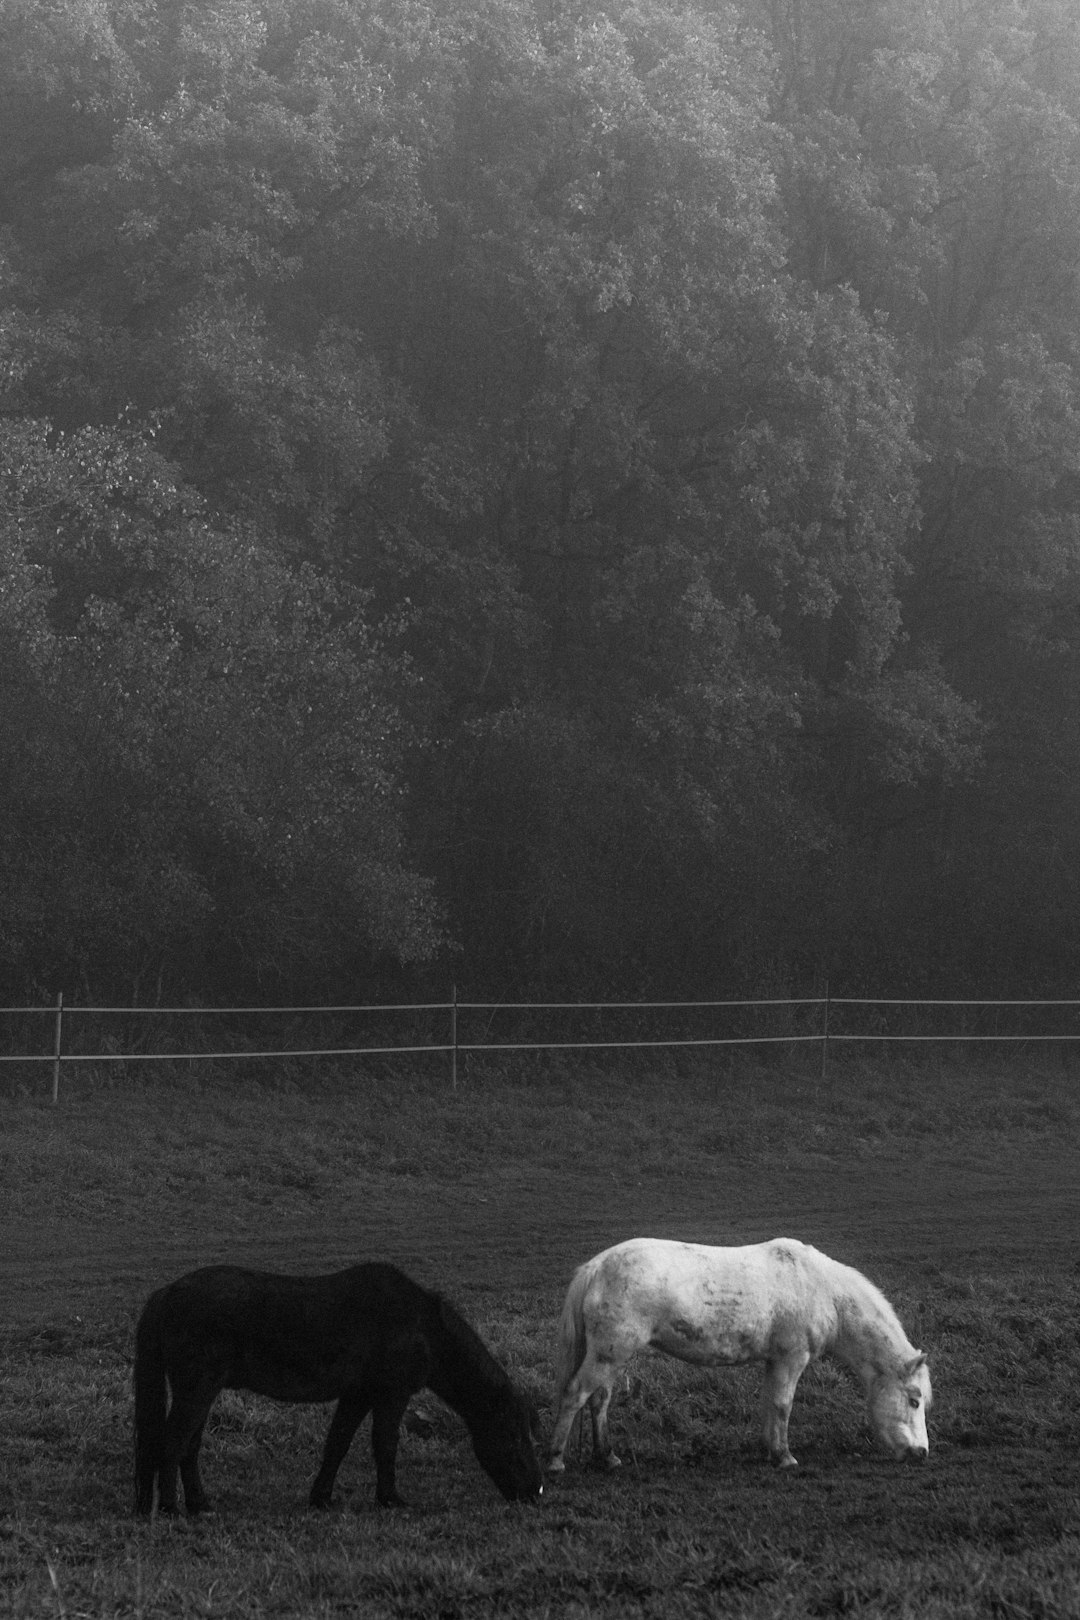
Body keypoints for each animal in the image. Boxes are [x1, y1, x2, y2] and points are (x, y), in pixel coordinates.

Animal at [132, 1257, 540, 1509]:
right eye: (514, 1435)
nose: (534, 1492)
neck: (423, 1327)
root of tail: (167, 1293)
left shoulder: (357, 1395)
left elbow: (337, 1445)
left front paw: (322, 1498)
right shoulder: (391, 1394)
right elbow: (385, 1445)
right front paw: (390, 1499)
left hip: (201, 1390)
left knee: (188, 1446)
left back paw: (199, 1505)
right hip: (196, 1389)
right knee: (173, 1442)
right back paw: (169, 1508)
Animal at [550, 1237, 932, 1470]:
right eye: (913, 1400)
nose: (921, 1452)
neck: (823, 1289)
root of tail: (597, 1268)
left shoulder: (774, 1361)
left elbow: (769, 1404)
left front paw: (769, 1450)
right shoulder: (792, 1359)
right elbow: (782, 1405)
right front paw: (785, 1457)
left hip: (611, 1357)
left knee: (599, 1402)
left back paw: (608, 1457)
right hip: (609, 1355)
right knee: (574, 1396)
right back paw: (555, 1460)